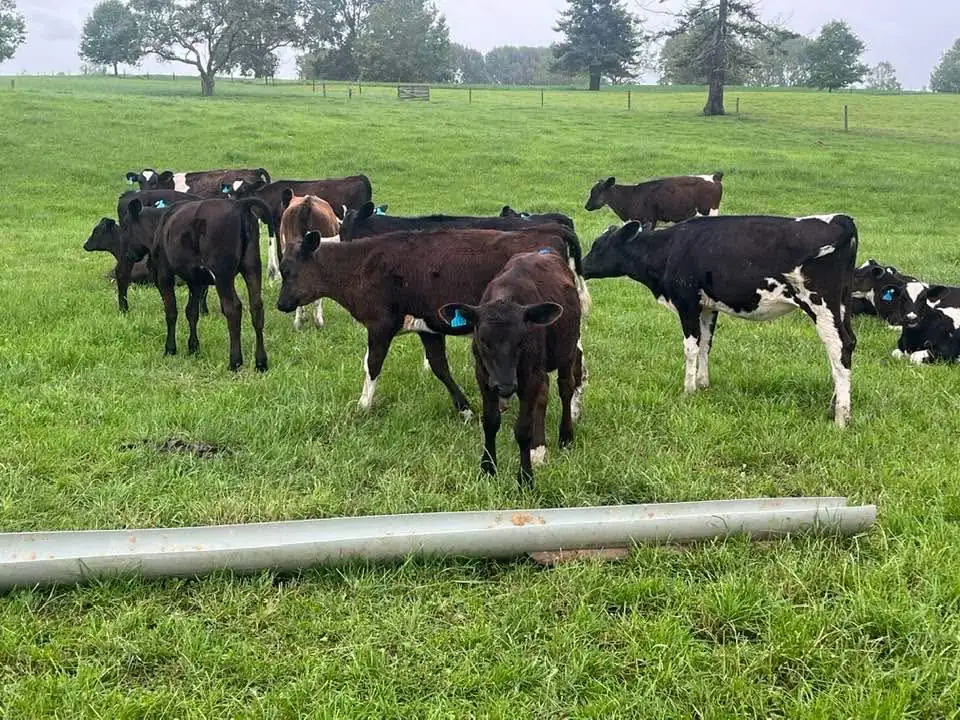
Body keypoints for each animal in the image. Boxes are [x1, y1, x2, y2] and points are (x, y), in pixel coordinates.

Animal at [150, 198, 275, 372]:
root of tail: (239, 205)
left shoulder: (164, 273)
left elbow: (171, 312)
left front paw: (170, 349)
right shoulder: (196, 280)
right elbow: (191, 312)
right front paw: (193, 347)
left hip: (222, 273)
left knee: (233, 308)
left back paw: (235, 362)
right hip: (252, 266)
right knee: (256, 307)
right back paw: (261, 362)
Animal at [224, 175, 373, 281]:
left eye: (244, 190)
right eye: (230, 192)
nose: (232, 204)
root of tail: (359, 177)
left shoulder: (278, 225)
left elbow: (280, 252)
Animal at [276, 225, 586, 417]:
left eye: (287, 270)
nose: (281, 304)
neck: (362, 264)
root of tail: (550, 230)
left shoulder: (380, 325)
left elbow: (371, 365)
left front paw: (363, 406)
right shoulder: (428, 328)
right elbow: (440, 368)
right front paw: (465, 409)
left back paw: (571, 411)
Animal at [437, 249, 584, 489]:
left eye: (521, 340)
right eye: (483, 340)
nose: (504, 386)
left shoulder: (529, 377)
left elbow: (523, 429)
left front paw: (525, 478)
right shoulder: (484, 375)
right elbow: (490, 422)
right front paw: (487, 468)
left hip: (567, 351)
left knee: (566, 388)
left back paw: (565, 436)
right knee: (544, 394)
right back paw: (540, 446)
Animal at [582, 215, 859, 426]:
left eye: (598, 246)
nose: (581, 267)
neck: (670, 248)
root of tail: (841, 219)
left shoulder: (687, 302)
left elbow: (691, 347)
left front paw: (689, 390)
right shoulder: (708, 306)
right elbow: (706, 344)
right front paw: (703, 383)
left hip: (820, 305)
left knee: (839, 347)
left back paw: (841, 417)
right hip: (842, 305)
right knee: (847, 346)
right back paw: (833, 405)